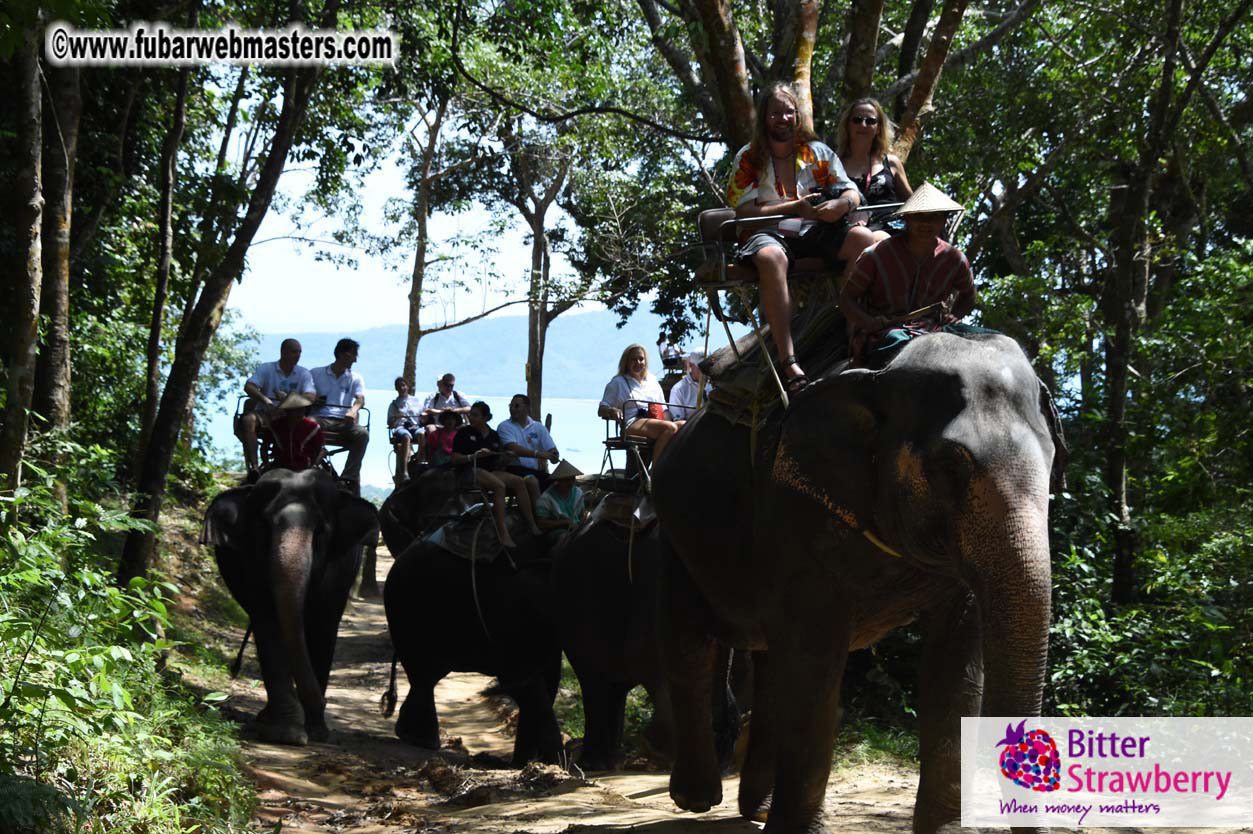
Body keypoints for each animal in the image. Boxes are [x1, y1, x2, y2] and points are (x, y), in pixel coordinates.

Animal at [203, 468, 380, 746]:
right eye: (265, 525)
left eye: (321, 531)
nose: (323, 704)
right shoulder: (249, 563)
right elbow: (268, 621)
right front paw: (287, 734)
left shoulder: (339, 567)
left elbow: (323, 623)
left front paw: (317, 731)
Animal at [384, 514, 564, 766]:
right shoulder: (511, 612)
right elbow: (522, 681)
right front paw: (556, 764)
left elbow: (549, 680)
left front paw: (528, 763)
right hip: (407, 607)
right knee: (423, 672)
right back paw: (421, 741)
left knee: (428, 674)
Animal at [652, 332, 1065, 834]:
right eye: (950, 465)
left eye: (1052, 459)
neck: (879, 376)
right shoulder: (796, 510)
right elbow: (815, 662)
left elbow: (957, 665)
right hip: (673, 539)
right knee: (690, 649)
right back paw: (696, 799)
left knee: (769, 665)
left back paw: (760, 808)